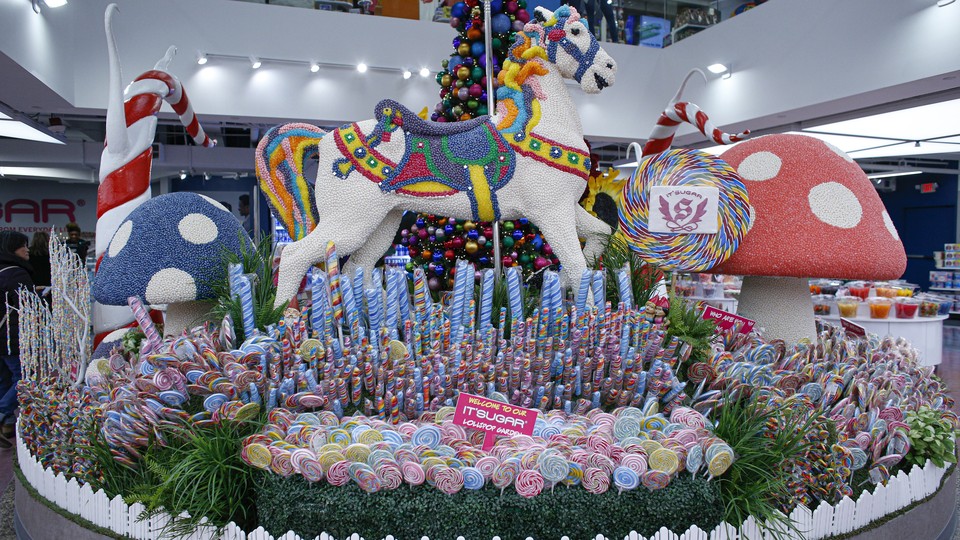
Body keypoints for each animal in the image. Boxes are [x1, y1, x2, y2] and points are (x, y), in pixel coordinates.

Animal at [258, 6, 616, 306]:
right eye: (575, 31)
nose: (610, 70)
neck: (539, 126)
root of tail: (323, 138)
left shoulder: (566, 207)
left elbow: (601, 235)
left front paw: (567, 283)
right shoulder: (550, 212)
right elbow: (577, 263)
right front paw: (587, 314)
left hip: (382, 221)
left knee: (355, 269)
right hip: (349, 219)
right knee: (294, 256)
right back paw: (284, 321)